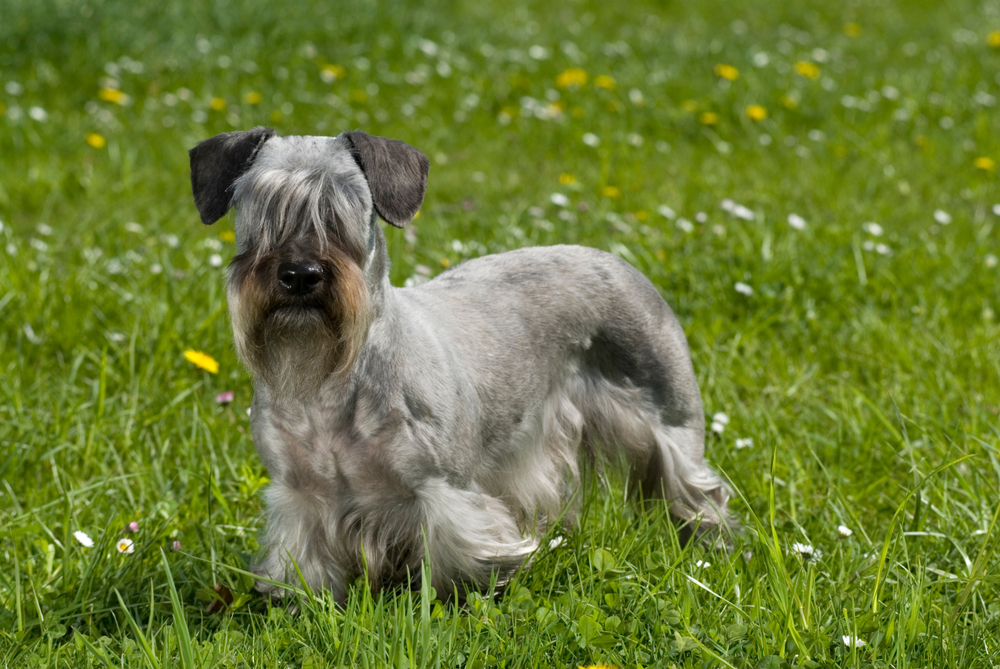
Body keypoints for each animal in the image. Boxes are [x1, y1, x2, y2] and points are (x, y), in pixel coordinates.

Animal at [189, 128, 736, 604]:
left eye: (344, 210)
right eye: (260, 207)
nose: (300, 274)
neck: (333, 382)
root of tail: (616, 260)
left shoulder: (442, 492)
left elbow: (459, 558)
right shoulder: (300, 496)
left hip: (671, 419)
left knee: (697, 489)